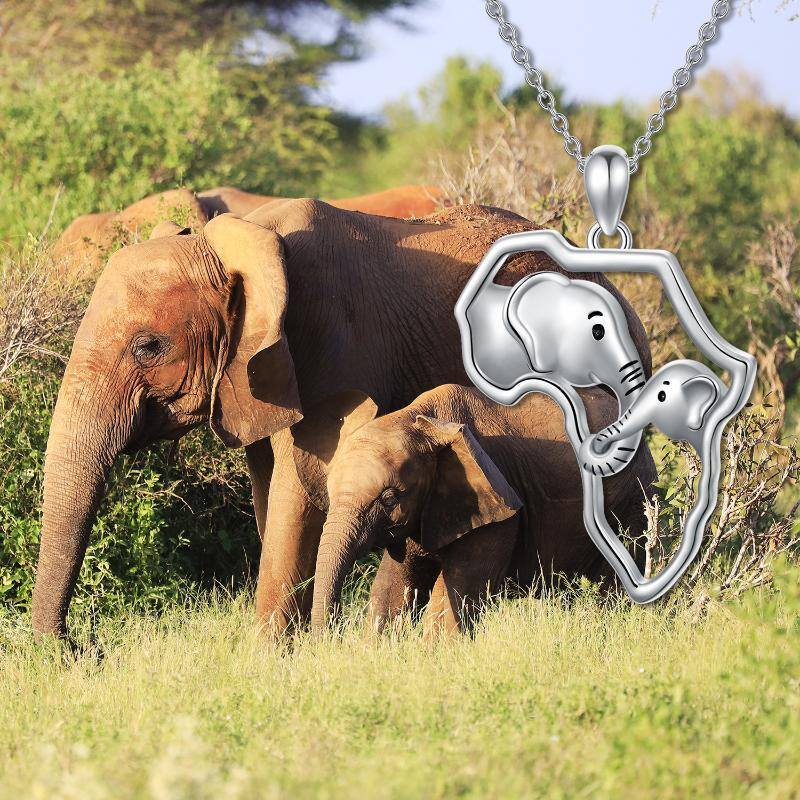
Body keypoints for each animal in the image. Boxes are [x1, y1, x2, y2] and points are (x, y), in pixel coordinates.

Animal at [311, 384, 657, 634]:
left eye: (389, 498)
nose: (332, 635)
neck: (421, 421)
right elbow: (393, 588)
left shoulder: (500, 506)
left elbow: (453, 596)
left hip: (632, 501)